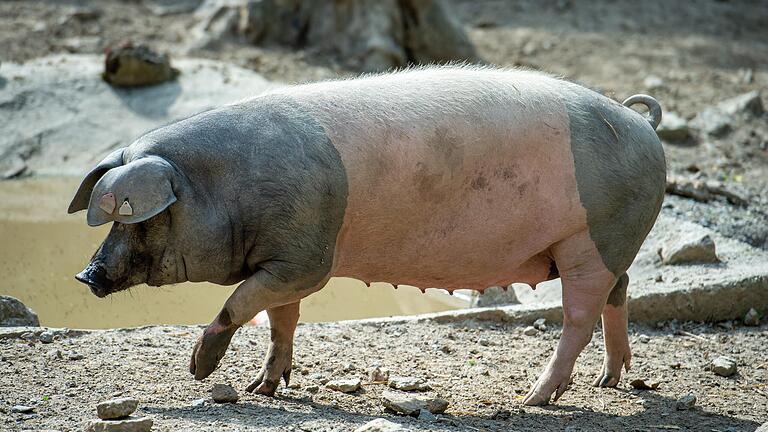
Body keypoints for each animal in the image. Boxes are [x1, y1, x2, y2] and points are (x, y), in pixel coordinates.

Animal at [67, 65, 664, 404]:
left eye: (135, 217)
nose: (85, 274)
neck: (224, 186)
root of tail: (642, 122)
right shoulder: (284, 257)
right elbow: (279, 319)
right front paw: (266, 388)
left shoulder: (307, 258)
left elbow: (241, 302)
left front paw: (198, 370)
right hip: (610, 242)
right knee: (620, 292)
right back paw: (609, 382)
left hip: (595, 236)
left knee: (579, 316)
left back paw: (533, 400)